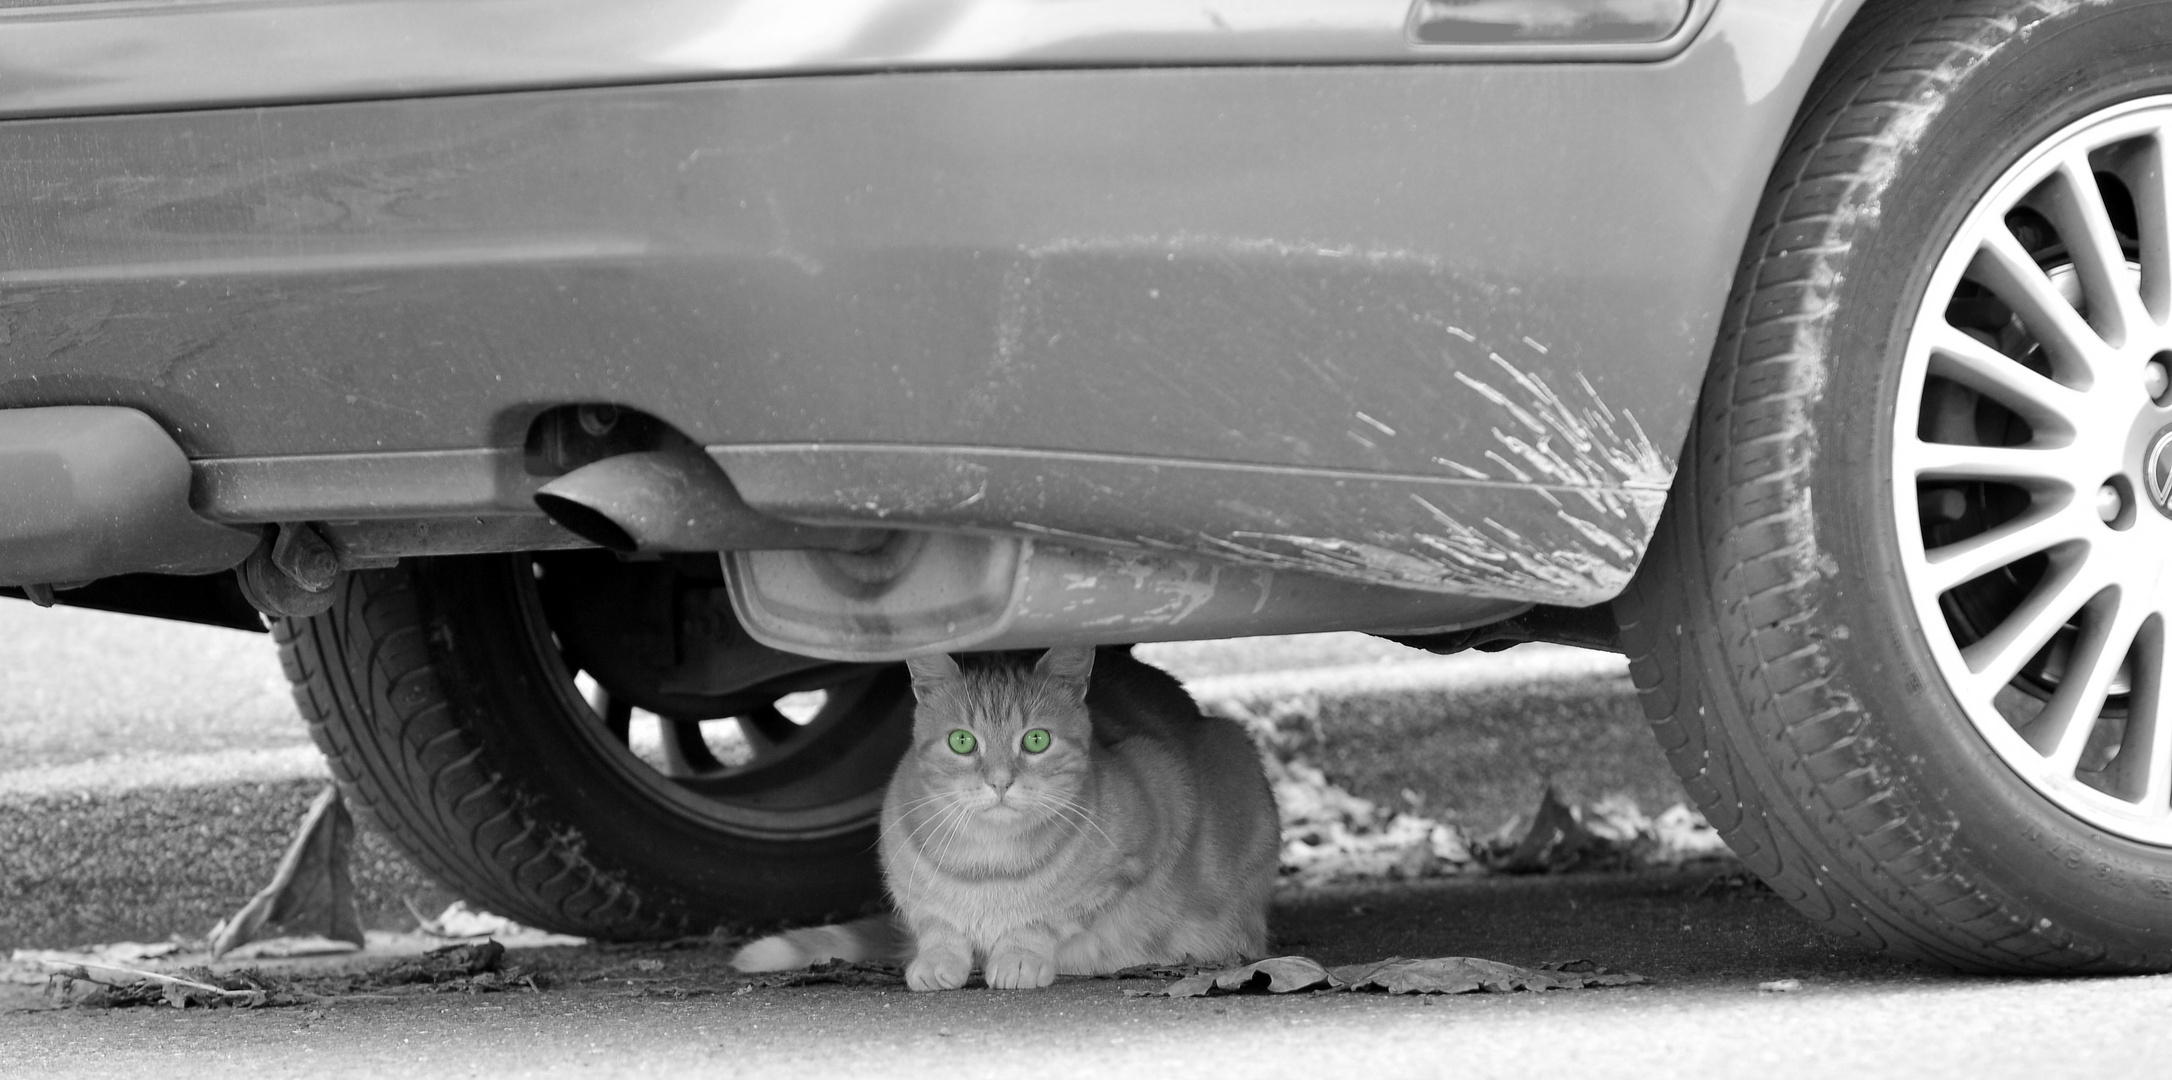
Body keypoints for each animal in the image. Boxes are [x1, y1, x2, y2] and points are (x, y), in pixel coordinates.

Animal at [729, 643, 1277, 990]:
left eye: (1035, 740)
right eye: (961, 741)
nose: (999, 781)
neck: (987, 863)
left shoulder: (1153, 811)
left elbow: (1049, 917)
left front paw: (1019, 954)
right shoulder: (907, 881)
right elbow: (937, 923)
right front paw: (939, 959)